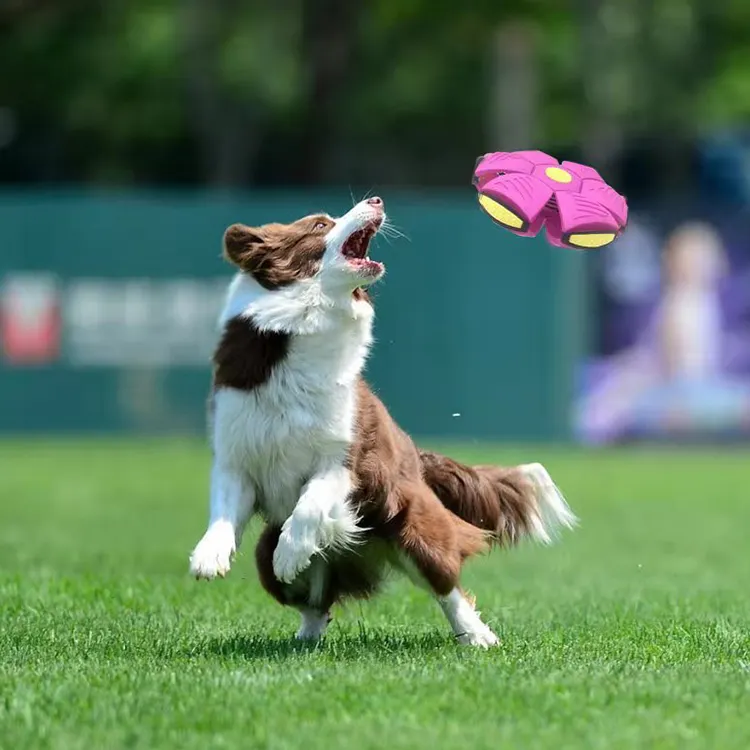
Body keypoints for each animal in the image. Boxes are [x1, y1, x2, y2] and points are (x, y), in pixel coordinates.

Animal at [188, 197, 576, 648]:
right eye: (320, 225)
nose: (376, 200)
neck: (303, 329)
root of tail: (419, 459)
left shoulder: (347, 459)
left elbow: (311, 504)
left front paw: (292, 551)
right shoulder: (237, 451)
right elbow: (224, 505)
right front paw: (209, 556)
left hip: (416, 526)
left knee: (447, 586)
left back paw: (478, 636)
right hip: (265, 554)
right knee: (315, 601)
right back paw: (304, 636)